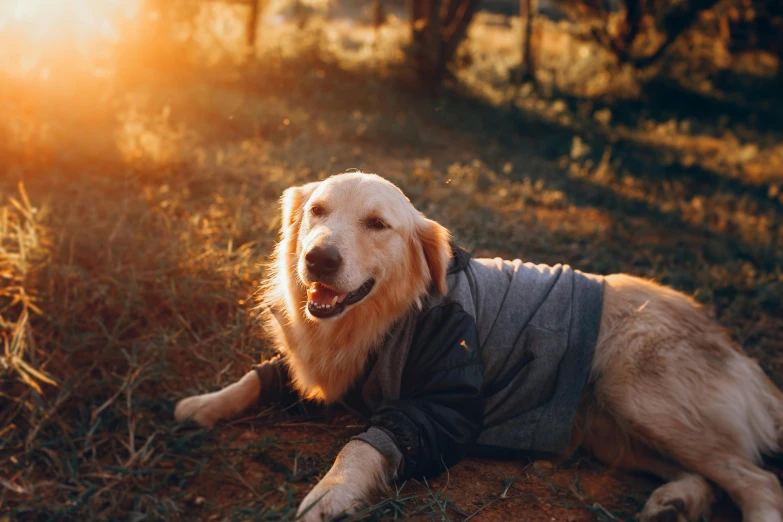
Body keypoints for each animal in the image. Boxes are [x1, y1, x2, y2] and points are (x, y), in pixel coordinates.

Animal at [175, 172, 783, 520]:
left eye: (377, 224)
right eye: (318, 212)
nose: (318, 260)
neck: (387, 315)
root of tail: (737, 350)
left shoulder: (442, 404)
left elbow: (361, 446)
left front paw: (333, 493)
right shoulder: (323, 372)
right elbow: (259, 377)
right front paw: (204, 404)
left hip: (636, 392)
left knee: (760, 482)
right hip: (616, 430)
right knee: (709, 478)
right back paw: (673, 504)